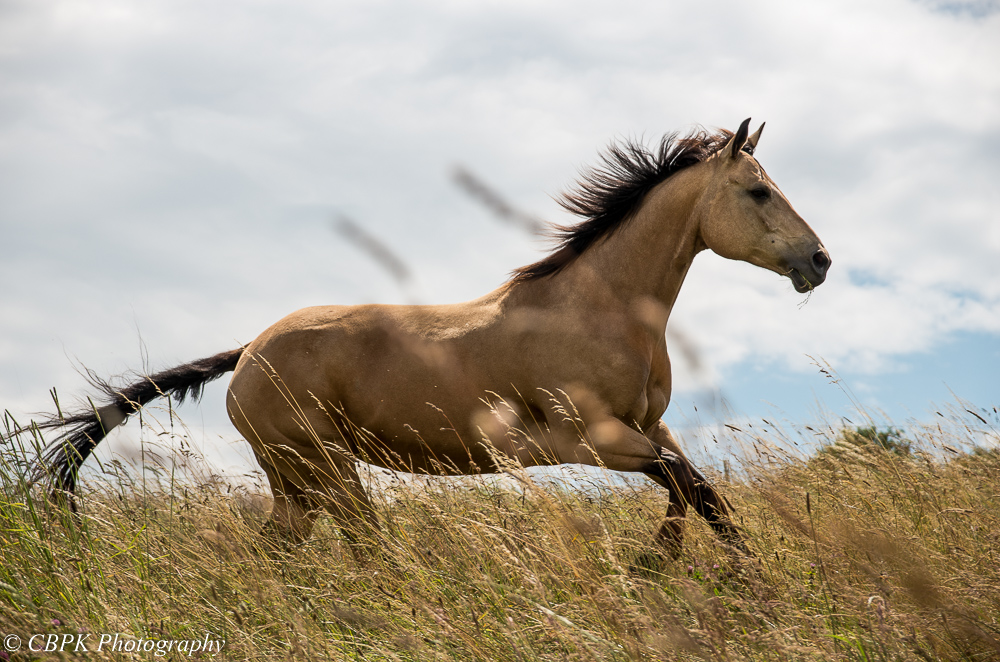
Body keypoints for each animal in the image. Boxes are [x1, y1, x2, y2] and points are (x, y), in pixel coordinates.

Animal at [29, 120, 828, 560]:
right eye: (758, 191)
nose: (818, 261)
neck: (597, 308)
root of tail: (249, 352)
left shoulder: (646, 427)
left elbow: (693, 492)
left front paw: (677, 565)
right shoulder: (590, 439)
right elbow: (694, 489)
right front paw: (684, 571)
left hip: (295, 483)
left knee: (280, 555)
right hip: (325, 470)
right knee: (363, 546)